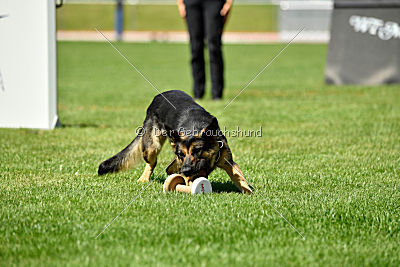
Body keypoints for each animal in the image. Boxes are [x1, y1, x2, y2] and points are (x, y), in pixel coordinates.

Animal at [98, 90, 252, 195]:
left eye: (197, 150)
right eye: (182, 154)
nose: (186, 170)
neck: (194, 128)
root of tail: (158, 96)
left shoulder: (228, 162)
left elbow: (241, 178)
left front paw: (250, 193)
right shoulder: (184, 164)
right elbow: (189, 180)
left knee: (169, 169)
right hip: (152, 148)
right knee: (152, 163)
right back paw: (144, 179)